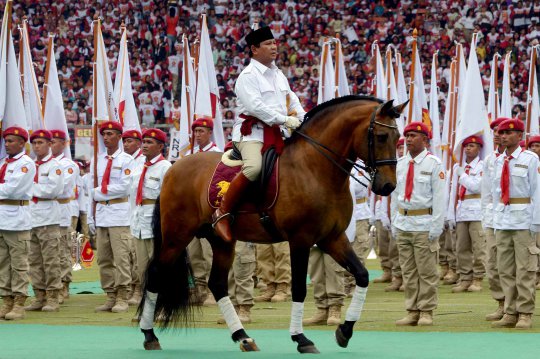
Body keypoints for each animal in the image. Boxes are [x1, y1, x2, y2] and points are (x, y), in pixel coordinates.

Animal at [137, 95, 402, 354]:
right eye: (381, 136)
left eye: (397, 136)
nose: (388, 186)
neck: (315, 168)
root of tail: (174, 166)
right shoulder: (300, 240)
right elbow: (299, 288)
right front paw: (301, 339)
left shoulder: (333, 238)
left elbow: (362, 275)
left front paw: (344, 331)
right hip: (176, 236)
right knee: (155, 273)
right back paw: (149, 335)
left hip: (221, 241)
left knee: (218, 284)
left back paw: (243, 337)